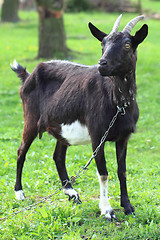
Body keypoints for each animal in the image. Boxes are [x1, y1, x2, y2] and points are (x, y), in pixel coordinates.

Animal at [10, 15, 148, 220]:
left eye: (127, 44)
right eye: (103, 43)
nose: (102, 64)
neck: (118, 104)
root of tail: (28, 76)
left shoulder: (124, 137)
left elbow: (121, 170)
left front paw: (127, 206)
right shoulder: (97, 136)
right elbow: (103, 172)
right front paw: (107, 210)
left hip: (60, 127)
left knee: (58, 156)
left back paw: (72, 193)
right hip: (31, 119)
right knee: (21, 152)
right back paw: (19, 193)